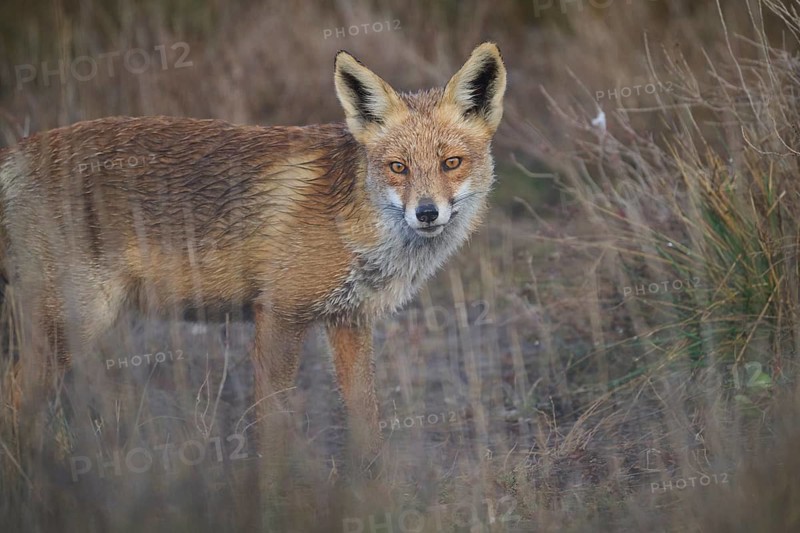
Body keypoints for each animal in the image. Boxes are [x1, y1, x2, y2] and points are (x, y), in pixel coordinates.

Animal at [0, 43, 506, 465]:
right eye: (398, 168)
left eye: (451, 163)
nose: (427, 213)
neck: (354, 225)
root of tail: (20, 151)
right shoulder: (279, 314)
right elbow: (272, 430)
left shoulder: (350, 320)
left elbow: (367, 425)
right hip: (77, 320)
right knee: (13, 397)